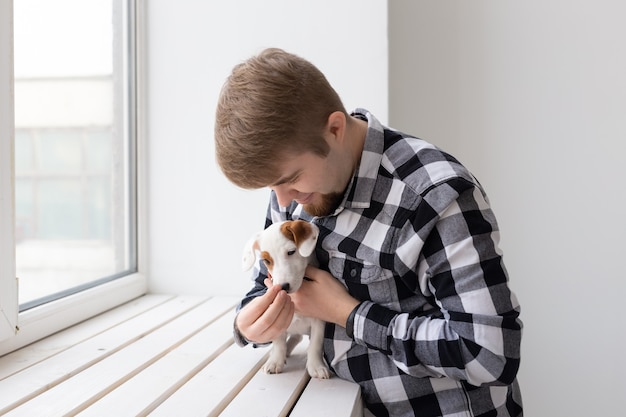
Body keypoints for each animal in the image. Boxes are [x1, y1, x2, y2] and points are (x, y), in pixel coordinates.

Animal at [243, 219, 332, 378]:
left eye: (291, 252)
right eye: (266, 260)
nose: (283, 287)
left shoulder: (319, 320)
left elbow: (315, 344)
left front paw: (316, 366)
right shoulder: (278, 318)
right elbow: (279, 343)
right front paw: (275, 360)